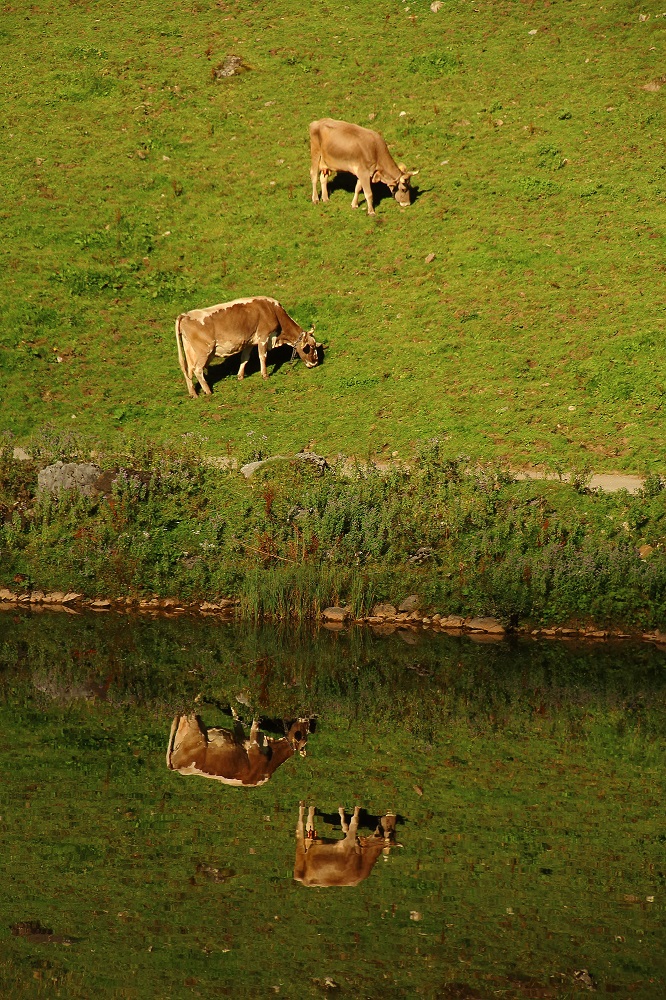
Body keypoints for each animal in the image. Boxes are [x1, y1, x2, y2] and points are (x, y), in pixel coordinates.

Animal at [166, 712, 312, 788]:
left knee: (188, 712)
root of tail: (175, 766)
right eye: (305, 731)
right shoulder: (243, 738)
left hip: (197, 731)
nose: (307, 718)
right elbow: (238, 720)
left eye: (303, 734)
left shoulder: (253, 746)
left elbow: (255, 724)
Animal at [174, 294, 320, 396]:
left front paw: (240, 376)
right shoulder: (263, 336)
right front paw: (265, 375)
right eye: (310, 347)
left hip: (190, 352)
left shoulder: (249, 341)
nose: (315, 362)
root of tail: (185, 315)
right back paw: (208, 391)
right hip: (205, 351)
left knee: (188, 370)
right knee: (198, 370)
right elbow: (263, 356)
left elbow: (245, 358)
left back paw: (193, 393)